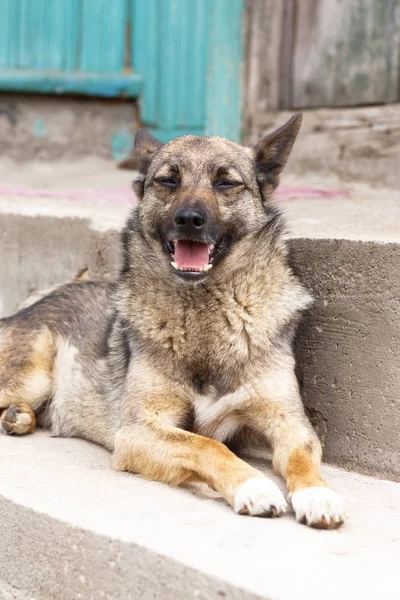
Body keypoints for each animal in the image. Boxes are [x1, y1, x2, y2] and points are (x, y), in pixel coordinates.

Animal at [0, 115, 346, 528]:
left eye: (226, 183)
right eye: (167, 181)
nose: (189, 220)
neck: (204, 310)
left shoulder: (290, 423)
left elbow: (301, 457)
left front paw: (318, 493)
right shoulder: (138, 433)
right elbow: (207, 445)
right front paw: (255, 485)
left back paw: (19, 418)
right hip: (31, 379)